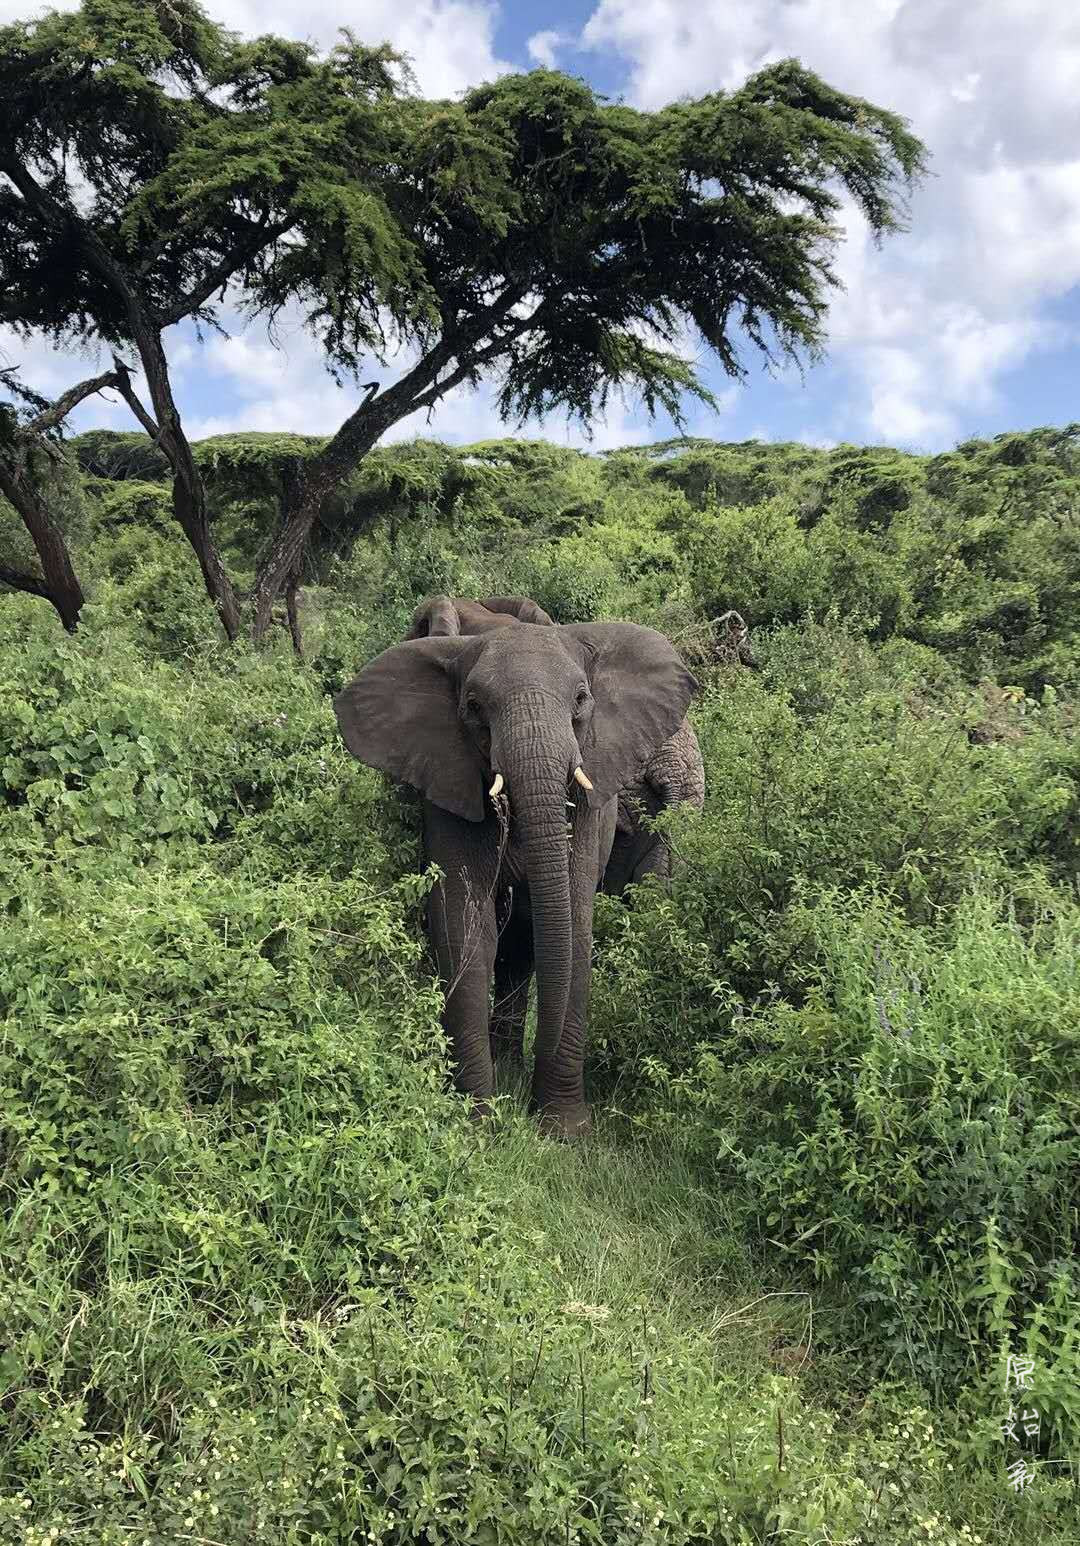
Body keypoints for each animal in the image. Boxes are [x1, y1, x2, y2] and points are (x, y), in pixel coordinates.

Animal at [333, 615, 698, 1137]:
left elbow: (572, 925)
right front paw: (476, 1125)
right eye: (473, 707)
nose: (529, 1113)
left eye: (582, 698)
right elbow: (464, 923)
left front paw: (565, 1130)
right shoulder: (450, 776)